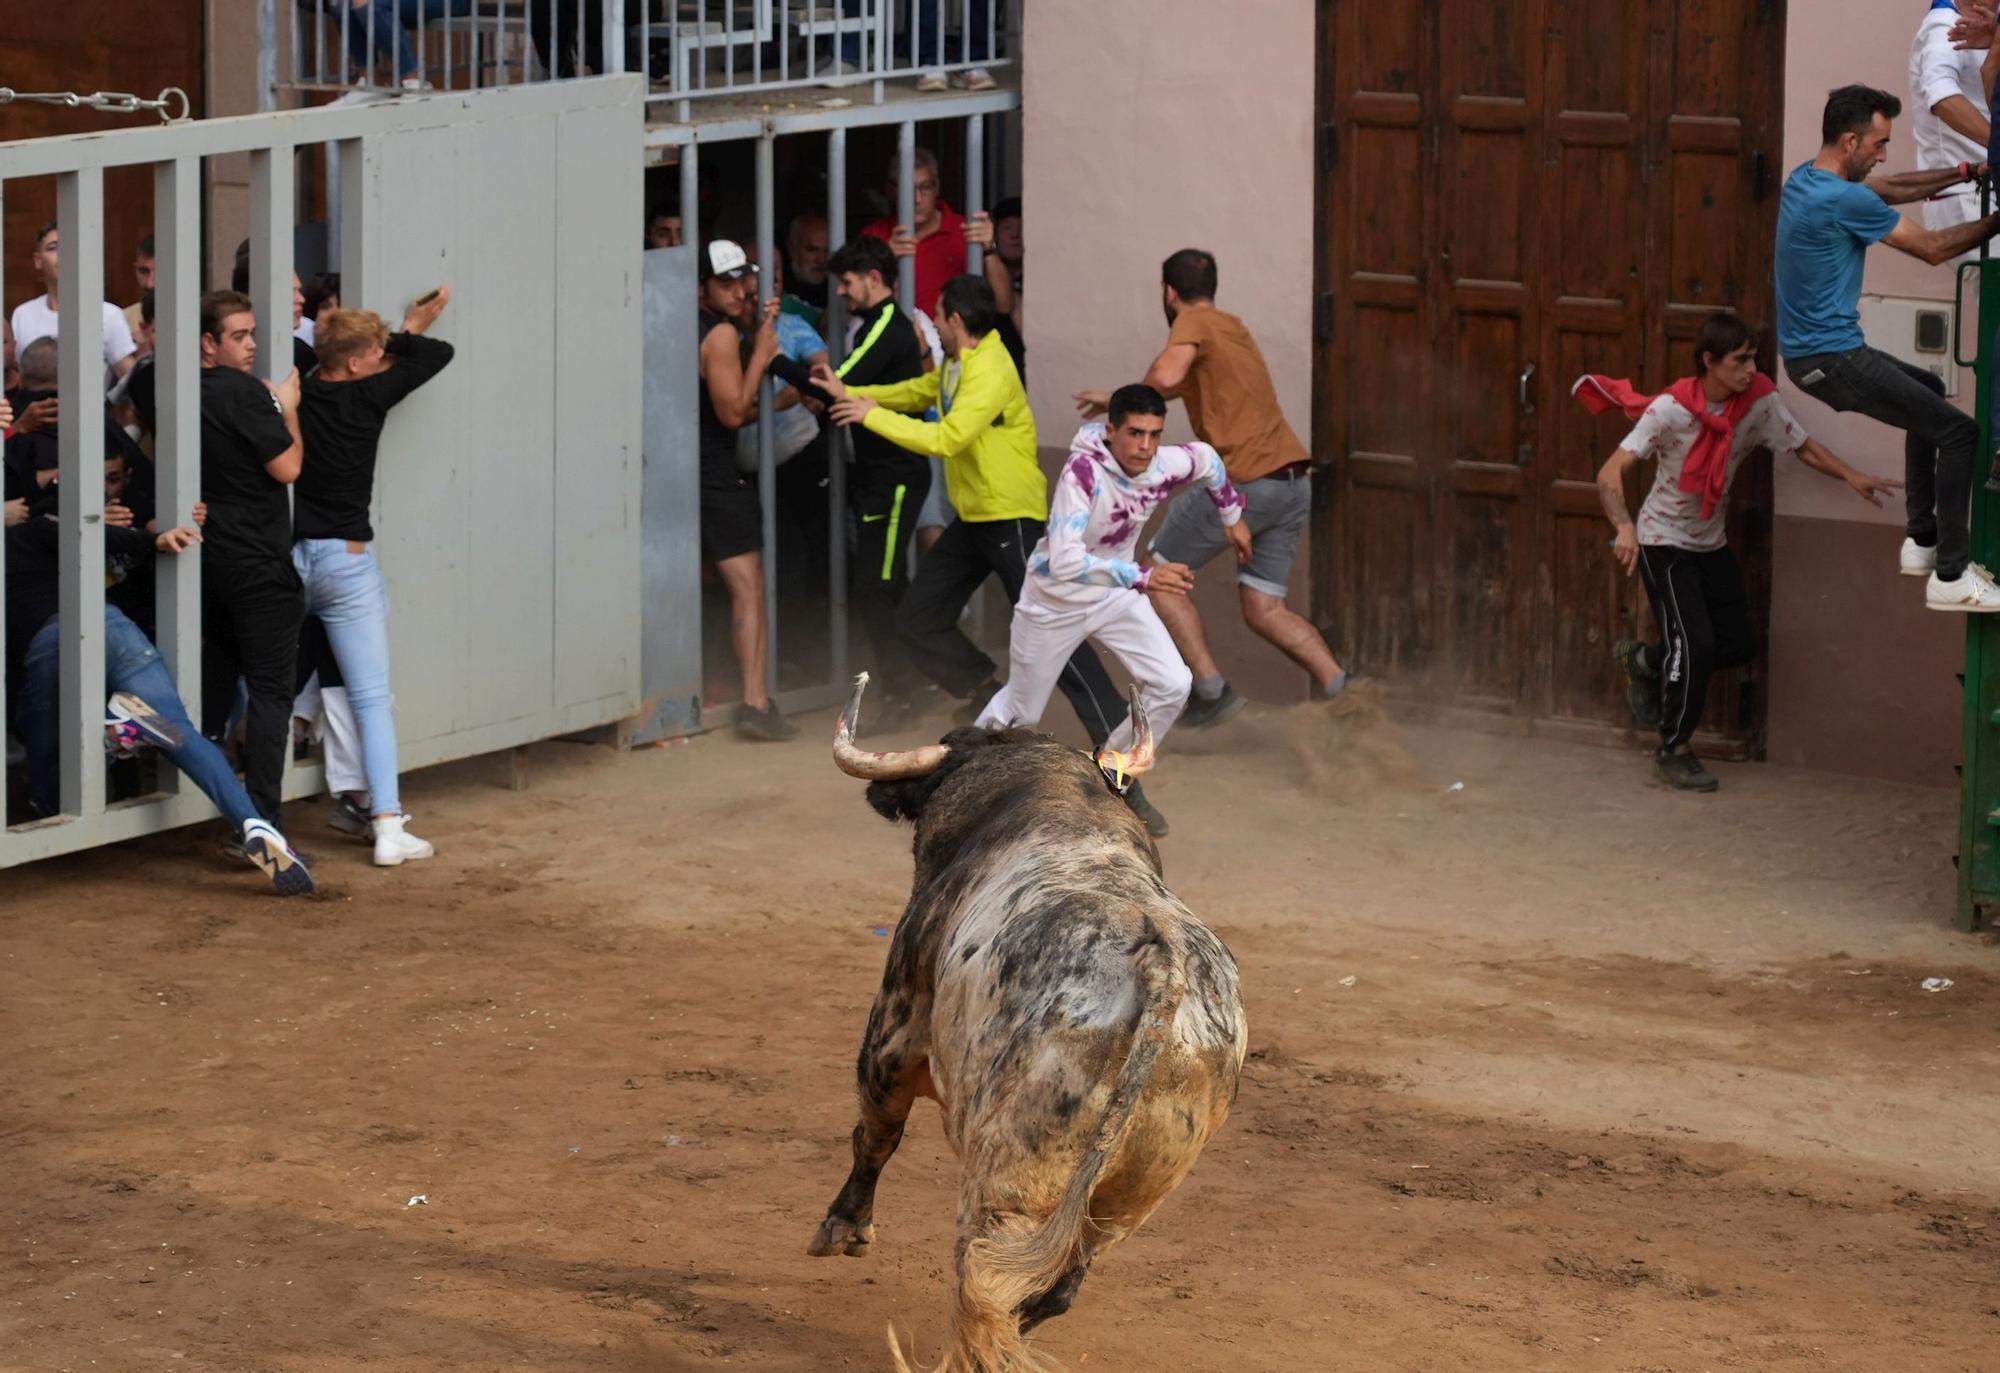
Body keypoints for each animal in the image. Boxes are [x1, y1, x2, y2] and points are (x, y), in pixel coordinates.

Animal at [804, 672, 1240, 1368]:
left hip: (1008, 1176)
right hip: (1132, 1194)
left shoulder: (894, 1027)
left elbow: (876, 1133)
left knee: (981, 1278)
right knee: (1053, 1284)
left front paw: (843, 1229)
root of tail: (1162, 965)